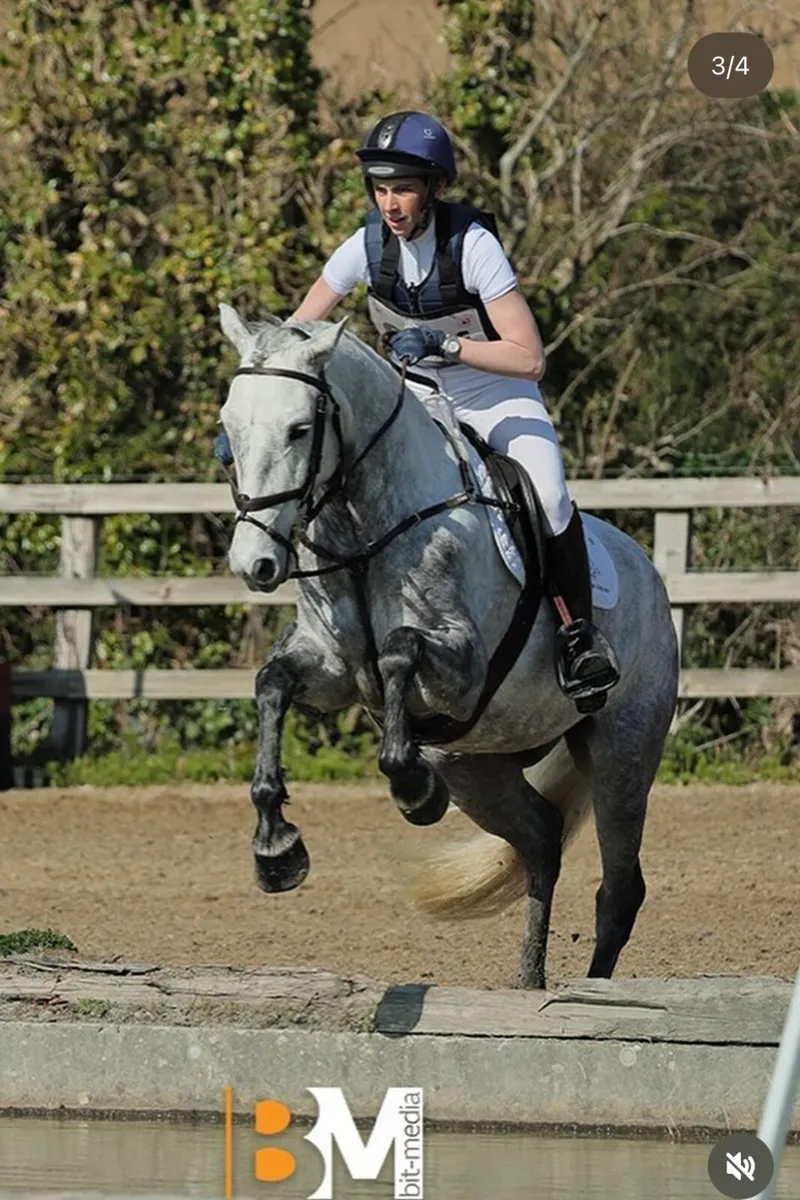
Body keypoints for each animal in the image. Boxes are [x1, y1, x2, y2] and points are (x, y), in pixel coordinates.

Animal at [216, 302, 679, 989]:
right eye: (229, 432)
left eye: (300, 429)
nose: (256, 565)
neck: (363, 524)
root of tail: (648, 572)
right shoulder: (328, 670)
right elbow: (271, 685)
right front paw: (276, 846)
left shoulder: (463, 670)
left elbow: (399, 649)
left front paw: (411, 785)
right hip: (476, 767)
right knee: (541, 839)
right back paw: (529, 982)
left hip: (622, 752)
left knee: (619, 891)